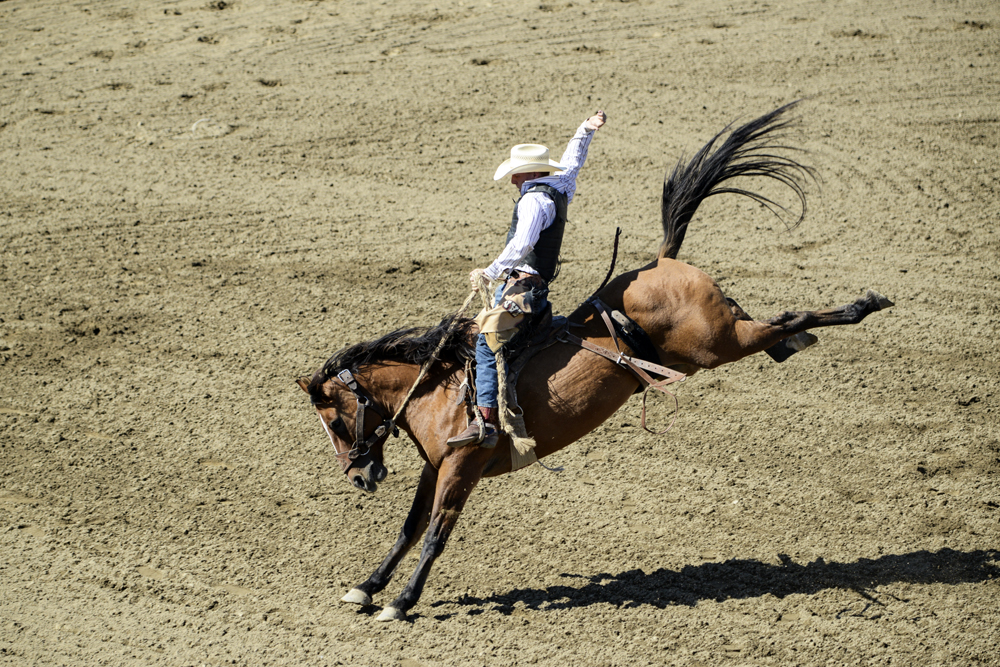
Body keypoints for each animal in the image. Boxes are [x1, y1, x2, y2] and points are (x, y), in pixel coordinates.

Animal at [294, 103, 892, 620]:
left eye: (335, 420)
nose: (359, 476)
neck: (437, 389)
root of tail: (664, 261)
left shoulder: (463, 465)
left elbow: (437, 533)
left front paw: (401, 602)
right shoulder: (436, 465)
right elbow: (409, 528)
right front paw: (367, 587)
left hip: (717, 344)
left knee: (789, 316)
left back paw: (864, 305)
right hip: (720, 337)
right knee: (774, 322)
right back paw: (806, 336)